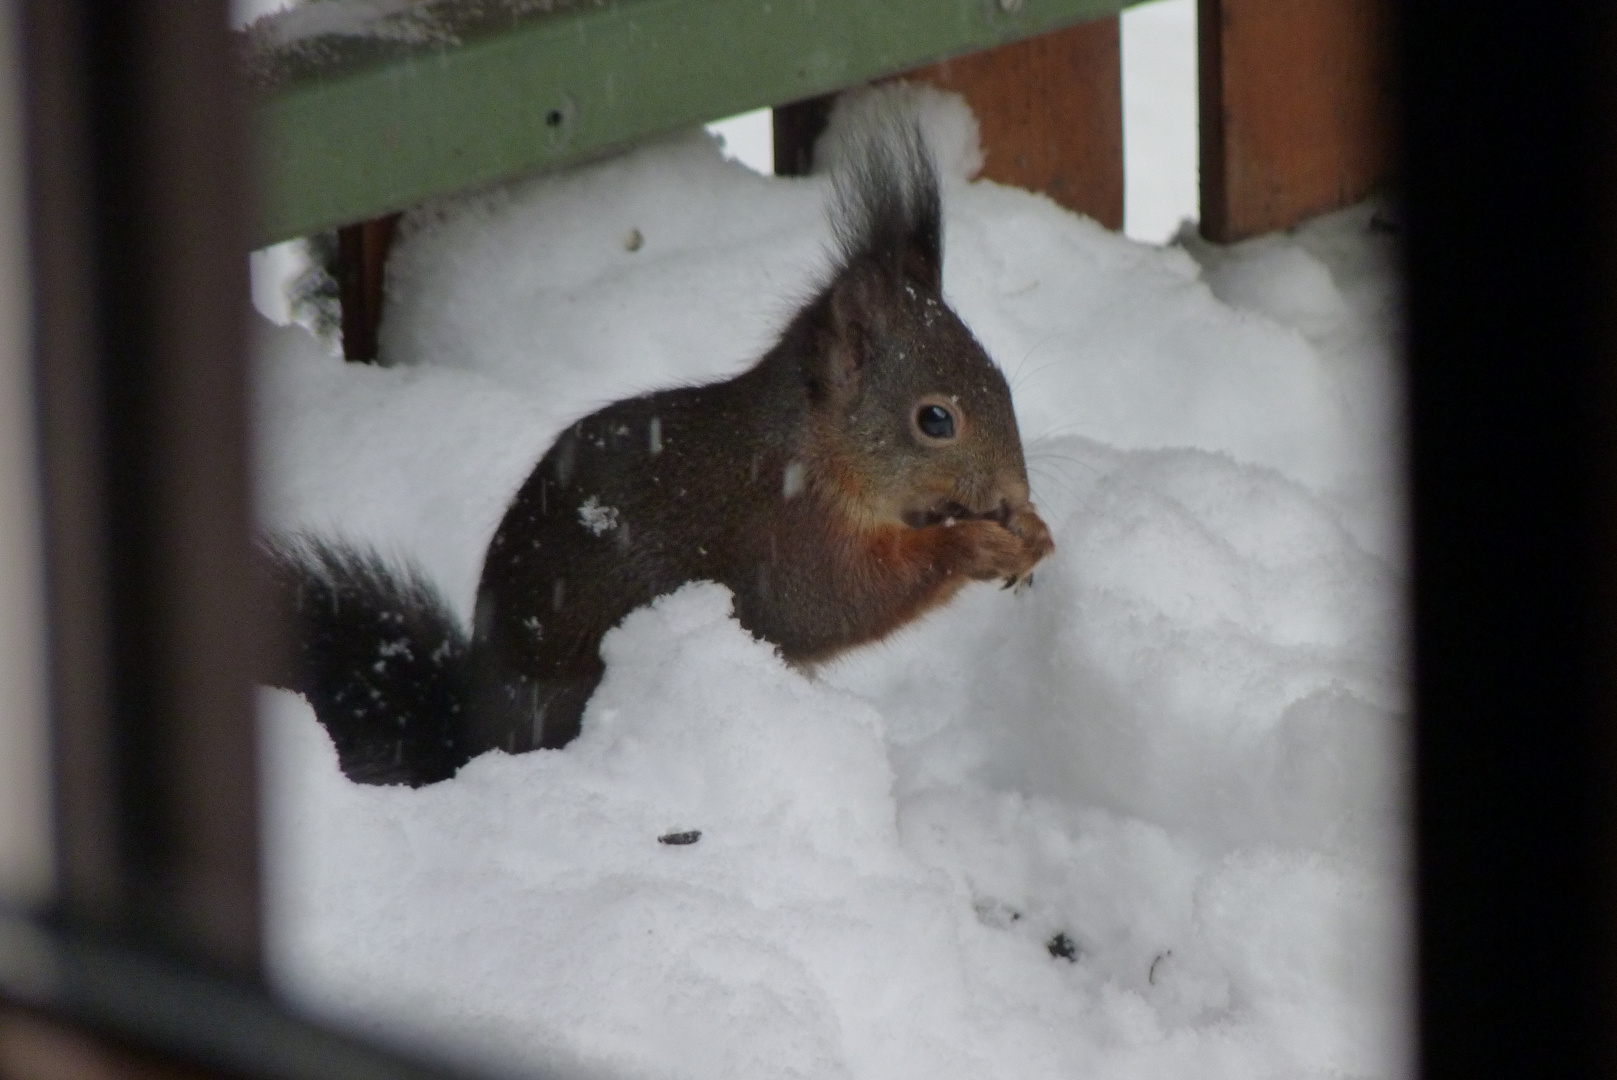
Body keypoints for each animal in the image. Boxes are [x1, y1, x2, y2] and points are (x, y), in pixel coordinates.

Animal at [268, 124, 1047, 785]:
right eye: (935, 419)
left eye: (1005, 381)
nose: (1012, 491)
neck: (810, 454)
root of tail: (475, 741)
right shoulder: (785, 539)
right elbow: (835, 602)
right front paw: (975, 545)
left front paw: (1031, 529)